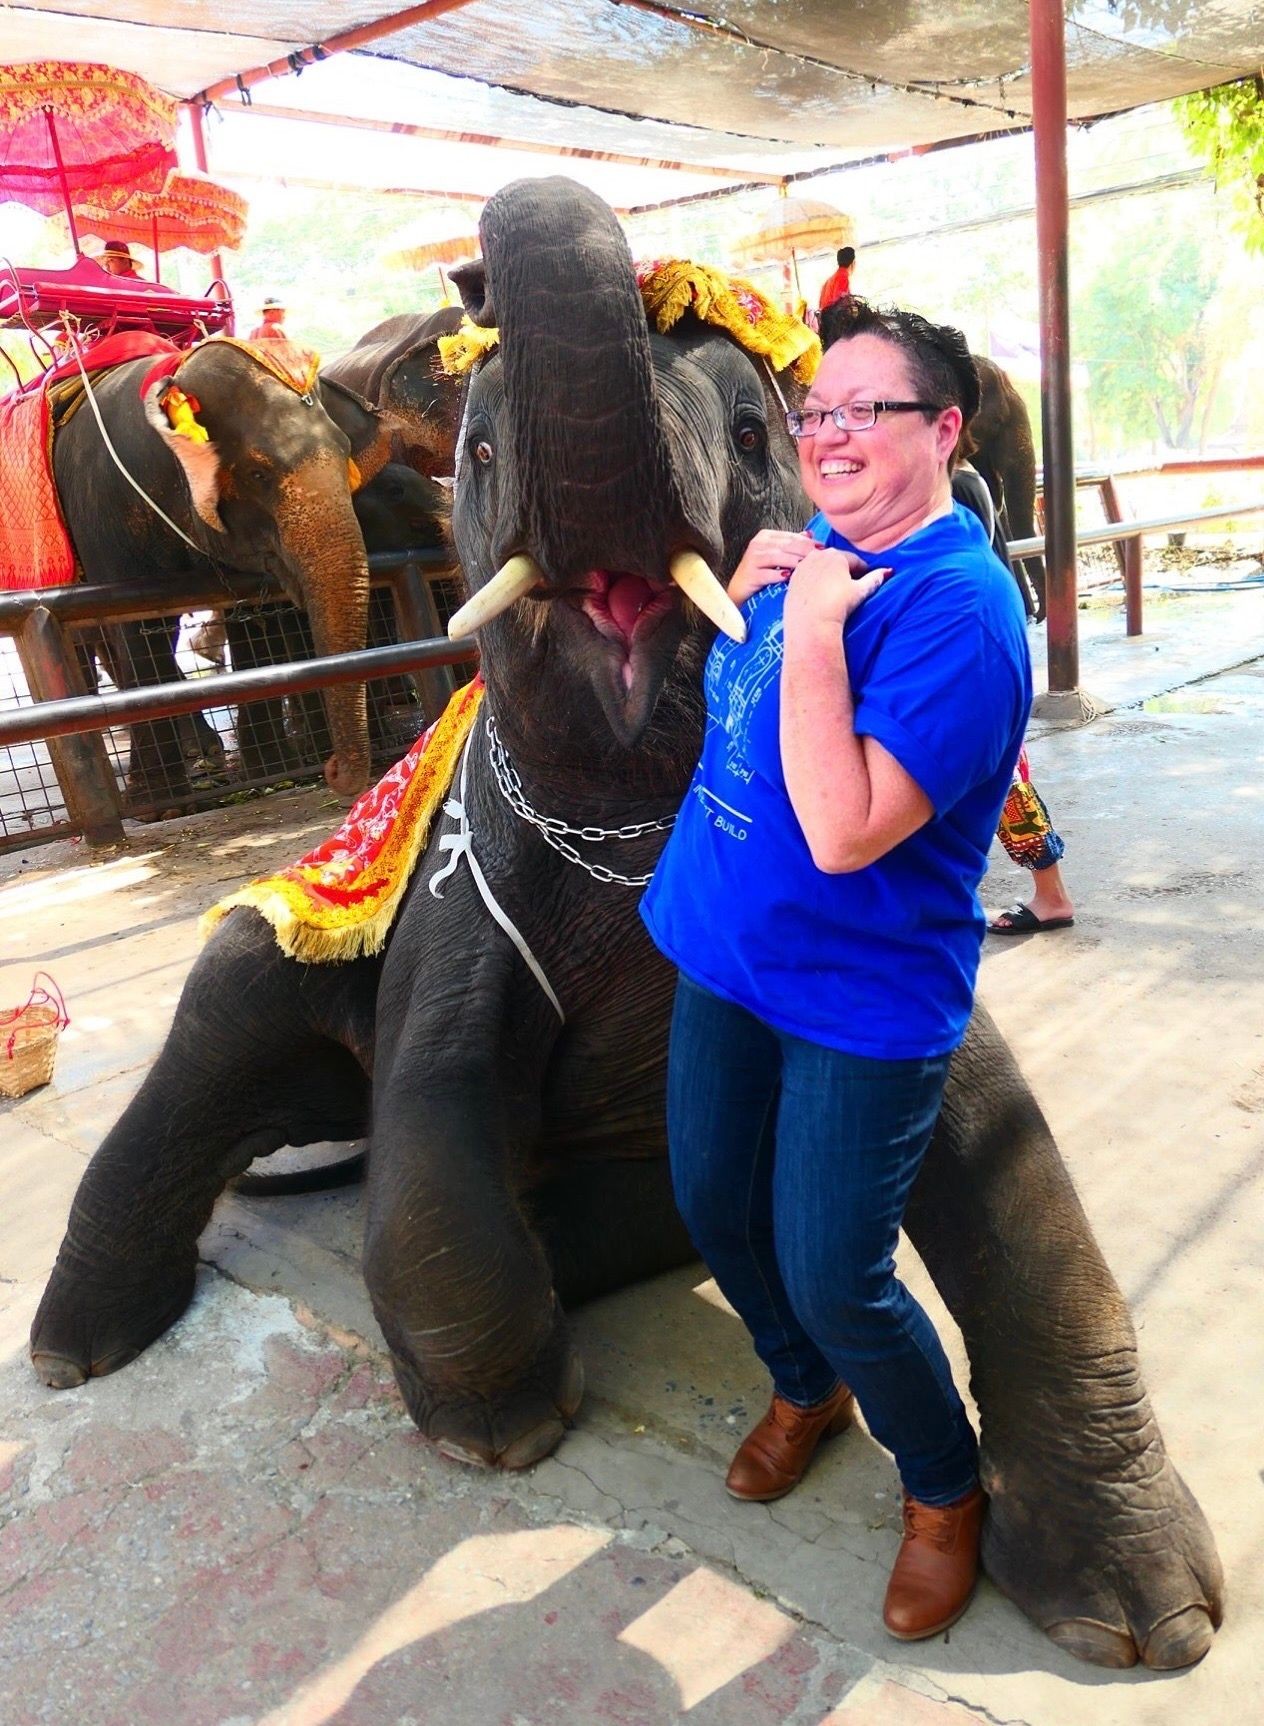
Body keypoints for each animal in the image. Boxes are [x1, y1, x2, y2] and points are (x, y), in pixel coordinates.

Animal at [29, 178, 1215, 1670]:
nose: (473, 277)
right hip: (279, 948)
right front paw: (499, 1429)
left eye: (759, 435)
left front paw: (1143, 1619)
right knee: (223, 1022)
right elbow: (433, 1107)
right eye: (478, 450)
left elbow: (1006, 1155)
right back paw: (72, 1350)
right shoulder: (464, 899)